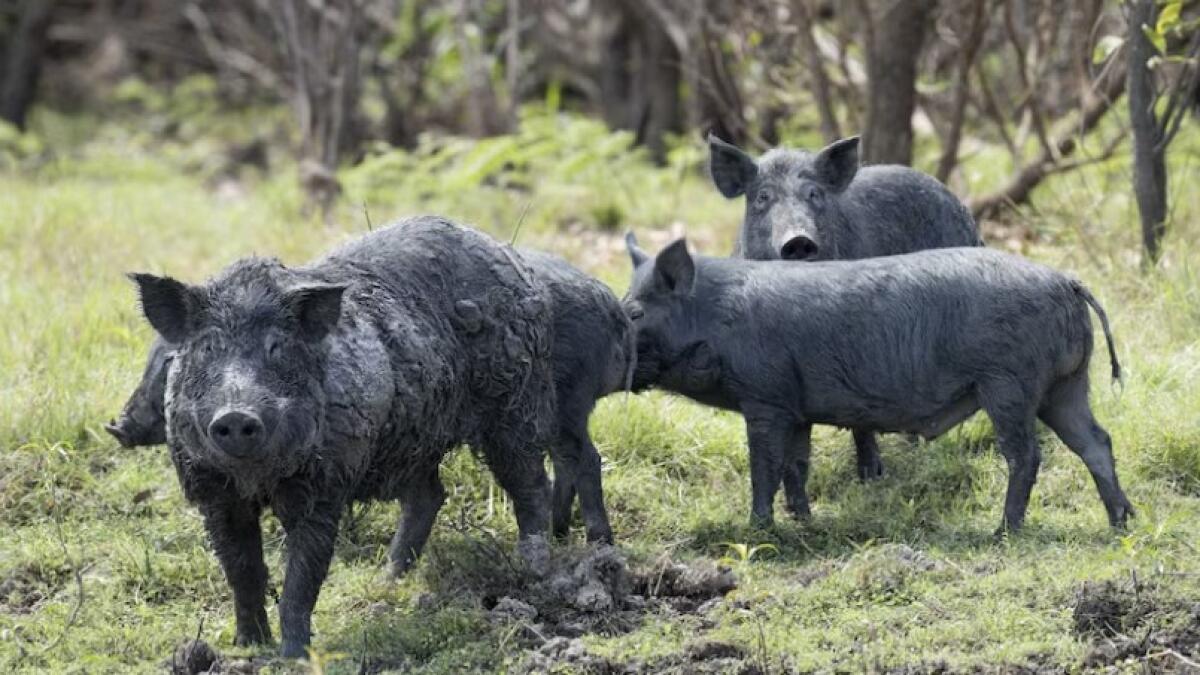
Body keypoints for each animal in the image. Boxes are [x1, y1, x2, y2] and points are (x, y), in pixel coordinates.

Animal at [109, 247, 634, 547]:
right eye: (185, 357)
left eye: (168, 363)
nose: (117, 425)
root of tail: (611, 306)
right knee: (435, 494)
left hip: (545, 407)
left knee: (571, 463)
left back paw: (585, 547)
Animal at [127, 216, 558, 657]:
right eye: (207, 348)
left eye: (276, 347)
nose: (235, 414)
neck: (257, 480)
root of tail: (506, 254)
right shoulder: (213, 493)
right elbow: (242, 572)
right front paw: (247, 648)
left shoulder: (324, 487)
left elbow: (302, 578)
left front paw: (294, 657)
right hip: (412, 441)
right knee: (430, 495)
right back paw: (388, 581)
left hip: (515, 402)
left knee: (531, 483)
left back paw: (535, 569)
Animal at [623, 234, 1132, 533]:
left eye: (635, 312)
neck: (714, 319)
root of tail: (1066, 281)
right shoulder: (796, 407)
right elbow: (796, 466)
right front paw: (804, 522)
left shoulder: (765, 397)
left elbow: (764, 466)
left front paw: (758, 529)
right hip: (1064, 386)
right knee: (1096, 441)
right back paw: (1122, 521)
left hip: (1009, 383)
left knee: (1026, 454)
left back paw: (1002, 531)